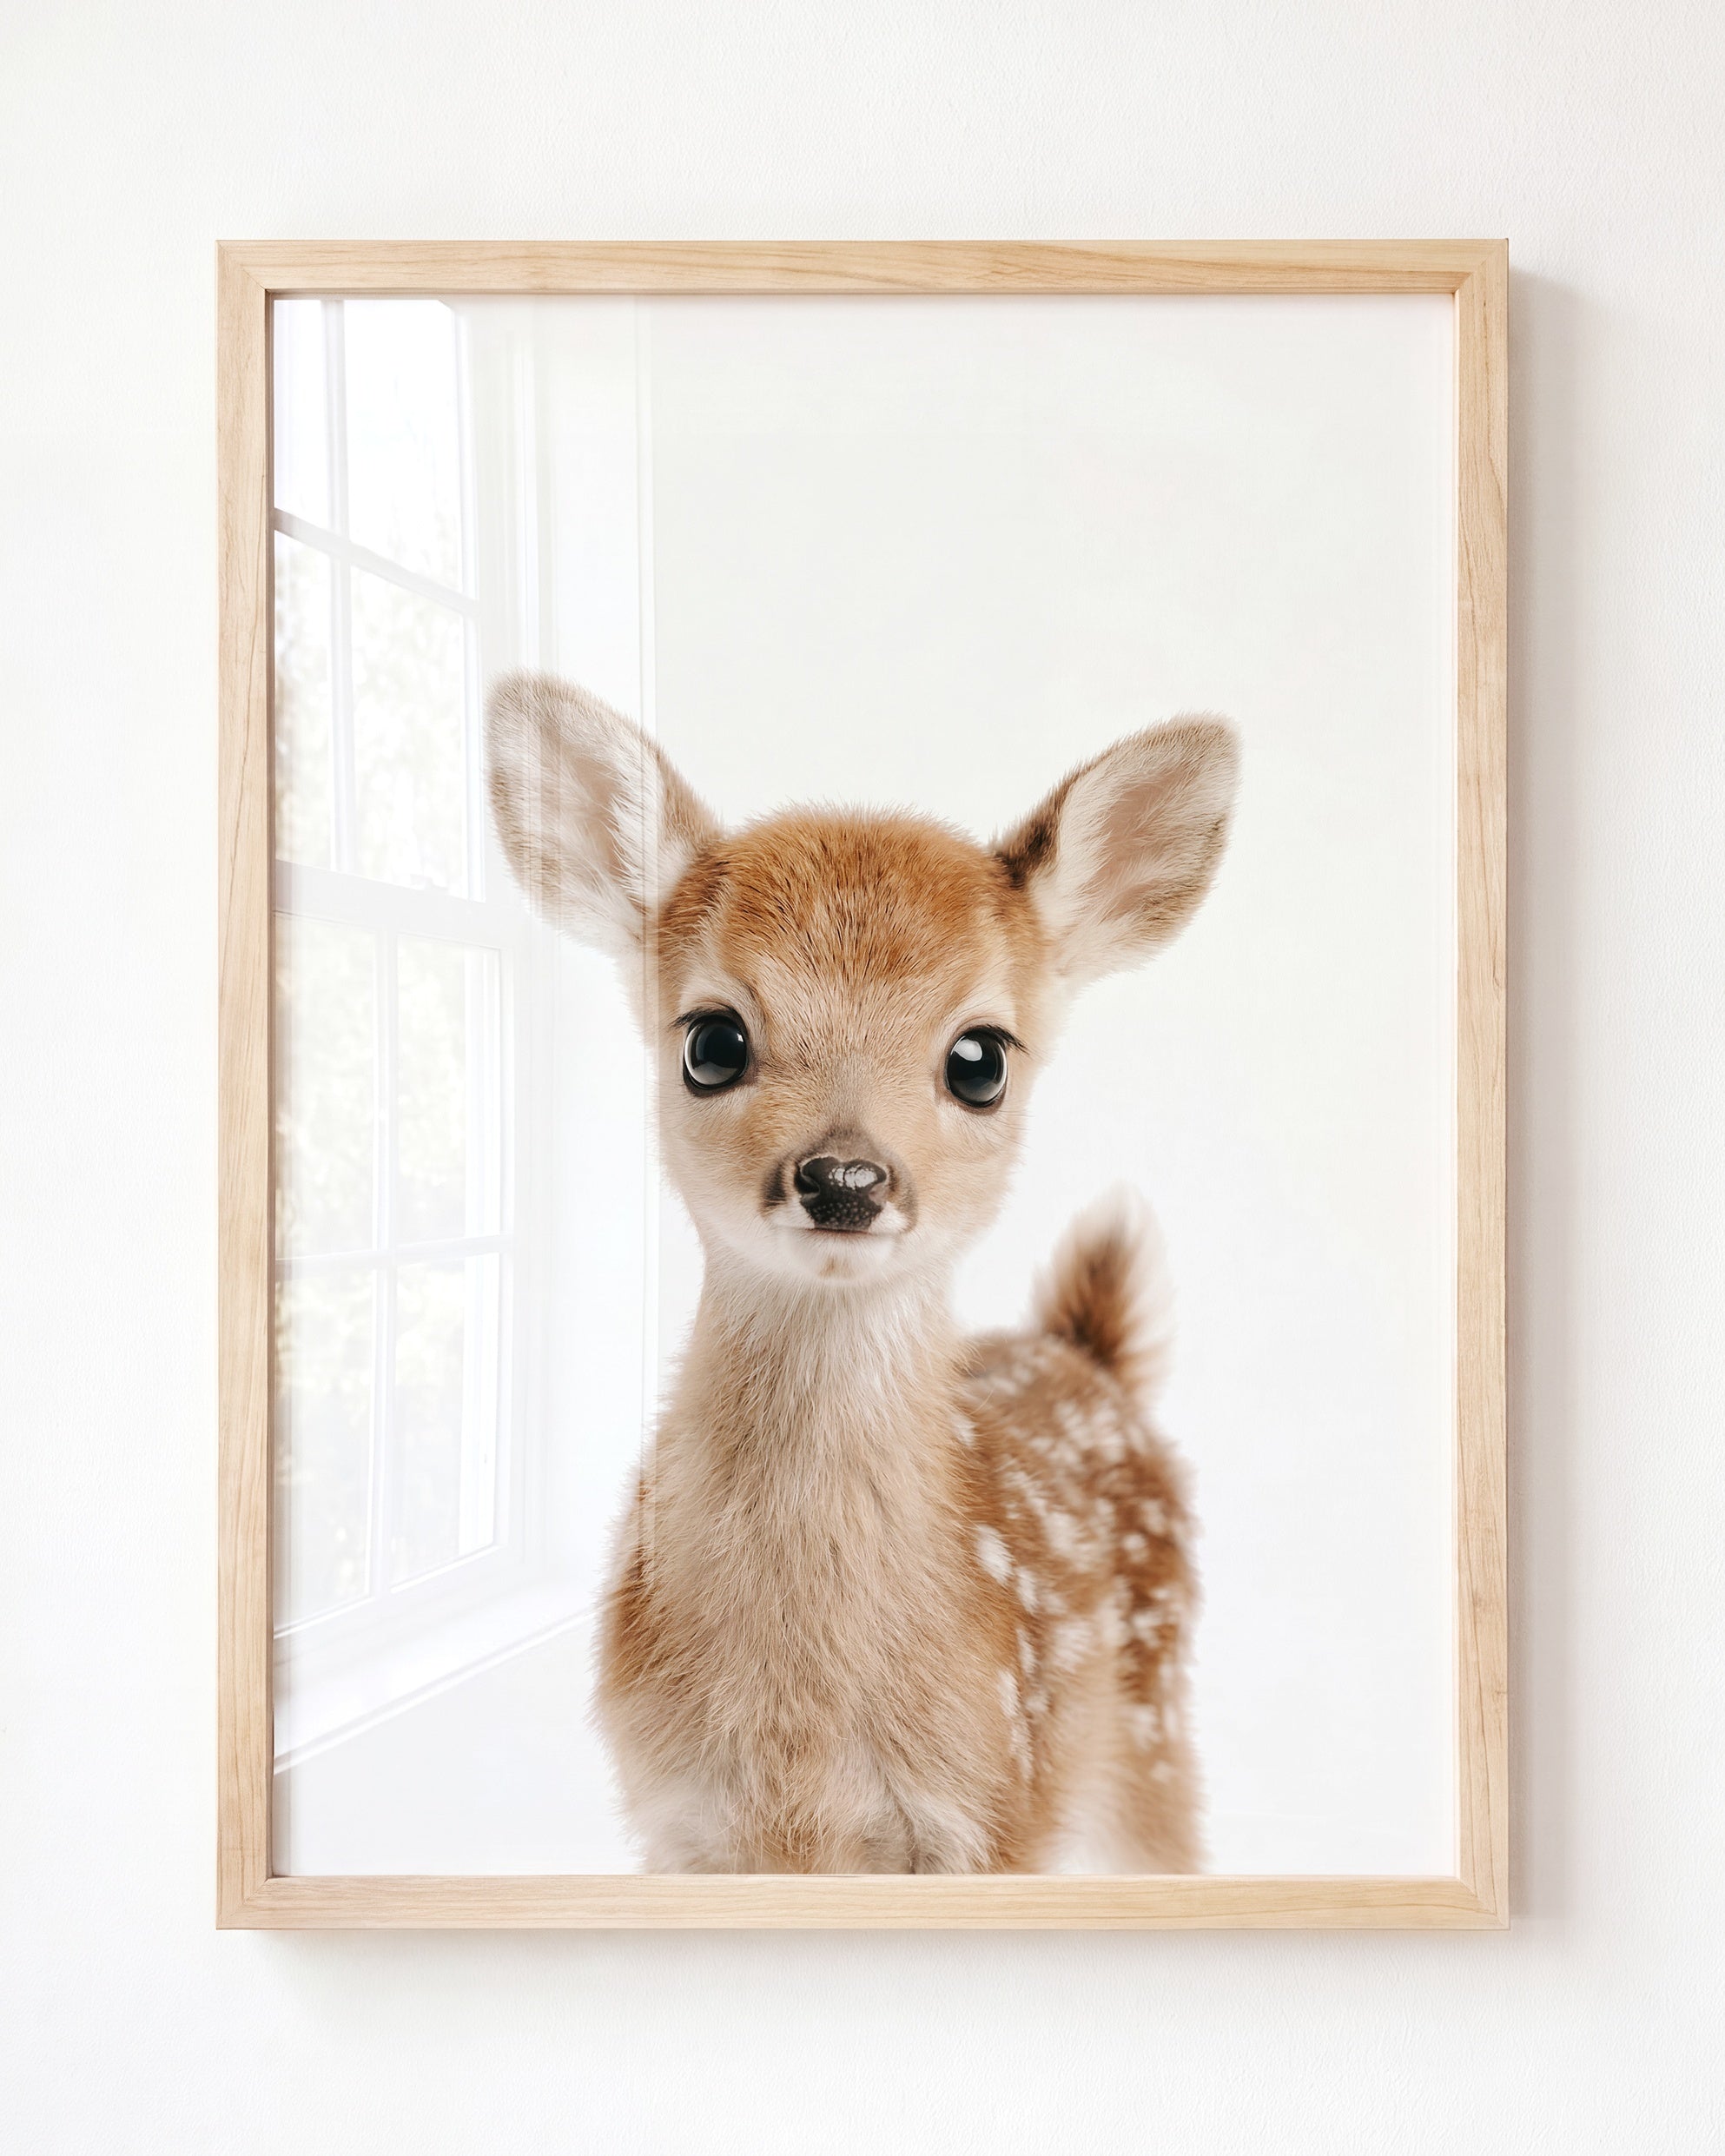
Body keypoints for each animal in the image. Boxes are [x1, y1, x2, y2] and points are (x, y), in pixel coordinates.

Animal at [486, 671, 1238, 1873]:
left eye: (981, 1058)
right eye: (711, 1041)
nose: (844, 1176)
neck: (801, 1743)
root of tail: (1088, 1354)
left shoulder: (993, 1808)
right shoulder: (677, 1821)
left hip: (1150, 1736)